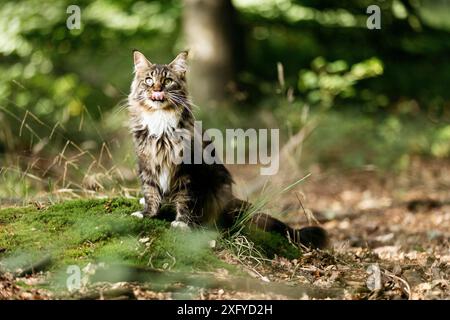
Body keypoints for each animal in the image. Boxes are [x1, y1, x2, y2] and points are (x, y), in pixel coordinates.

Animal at [126, 50, 326, 250]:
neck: (160, 121)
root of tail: (231, 200)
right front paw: (147, 213)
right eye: (149, 80)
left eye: (167, 81)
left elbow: (185, 199)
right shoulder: (147, 165)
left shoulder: (188, 172)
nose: (157, 88)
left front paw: (182, 223)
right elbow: (151, 192)